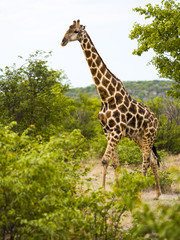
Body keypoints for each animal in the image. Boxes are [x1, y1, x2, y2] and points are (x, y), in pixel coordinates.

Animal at [61, 19, 161, 200]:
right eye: (68, 28)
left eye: (77, 31)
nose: (63, 41)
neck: (106, 96)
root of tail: (156, 119)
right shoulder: (108, 131)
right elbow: (114, 162)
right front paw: (116, 191)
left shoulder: (116, 132)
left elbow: (104, 160)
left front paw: (103, 192)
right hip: (138, 136)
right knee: (151, 159)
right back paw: (157, 194)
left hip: (149, 134)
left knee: (145, 159)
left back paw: (140, 191)